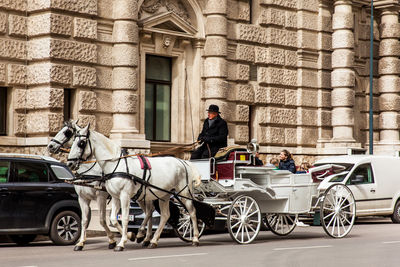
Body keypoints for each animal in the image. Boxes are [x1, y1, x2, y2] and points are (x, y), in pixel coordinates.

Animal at [67, 125, 202, 251]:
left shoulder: (120, 195)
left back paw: (195, 238)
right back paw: (152, 240)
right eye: (72, 140)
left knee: (192, 212)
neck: (116, 164)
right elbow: (109, 219)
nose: (69, 163)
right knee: (163, 215)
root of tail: (184, 162)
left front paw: (122, 242)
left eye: (81, 143)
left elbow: (124, 218)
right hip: (162, 195)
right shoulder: (112, 197)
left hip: (184, 193)